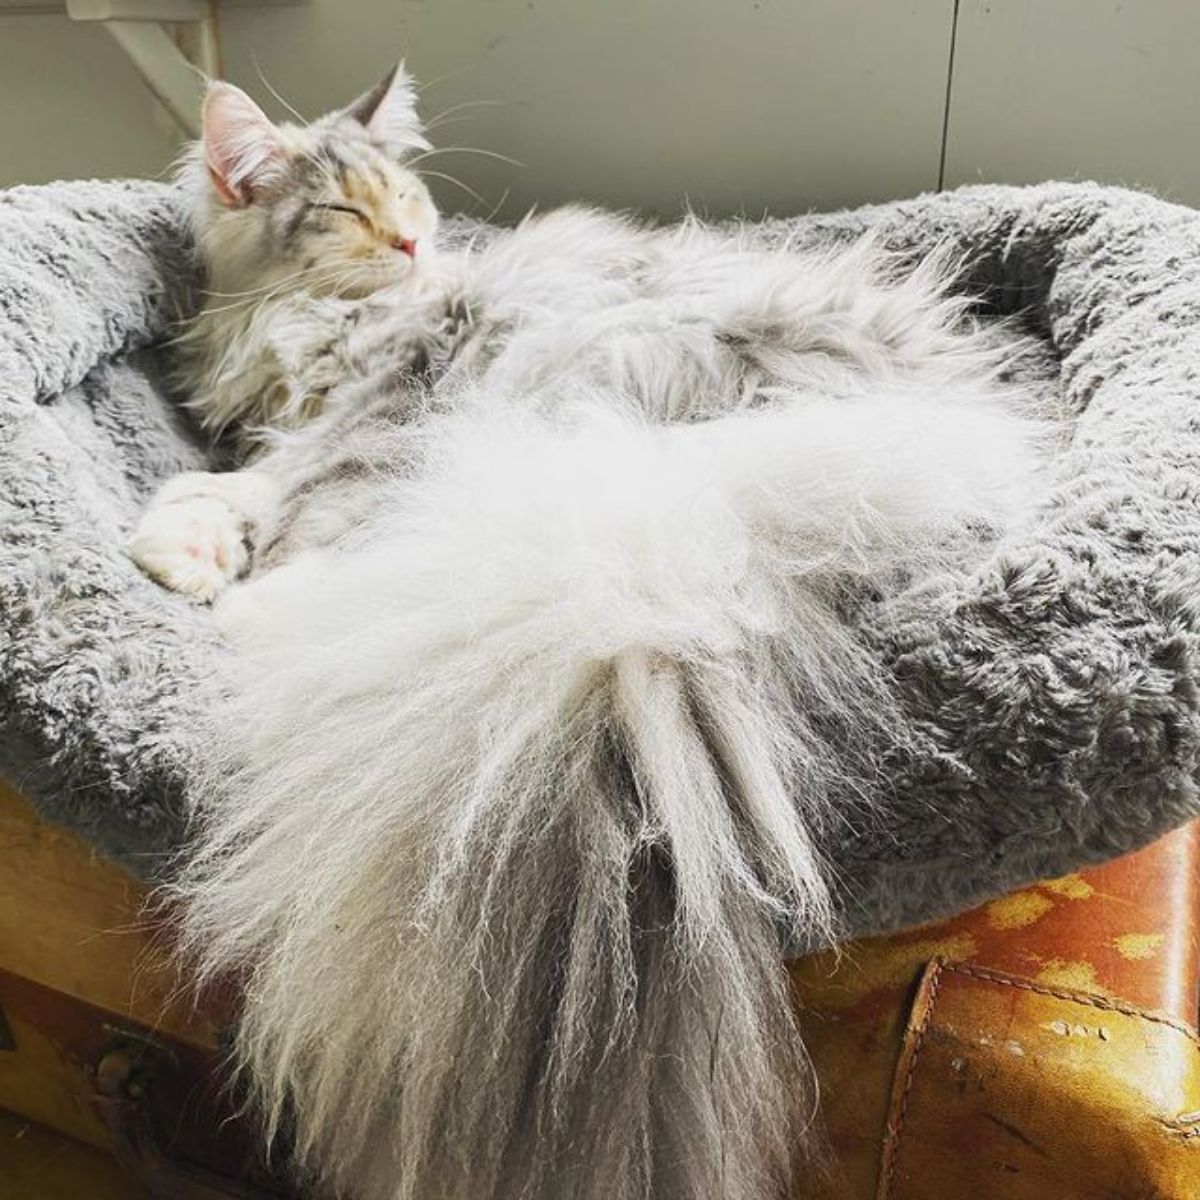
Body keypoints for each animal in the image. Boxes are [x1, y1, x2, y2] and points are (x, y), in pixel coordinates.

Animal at [133, 63, 1041, 1200]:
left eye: (410, 199)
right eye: (344, 210)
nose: (412, 244)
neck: (300, 316)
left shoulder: (382, 411)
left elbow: (294, 493)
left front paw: (211, 562)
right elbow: (247, 483)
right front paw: (183, 545)